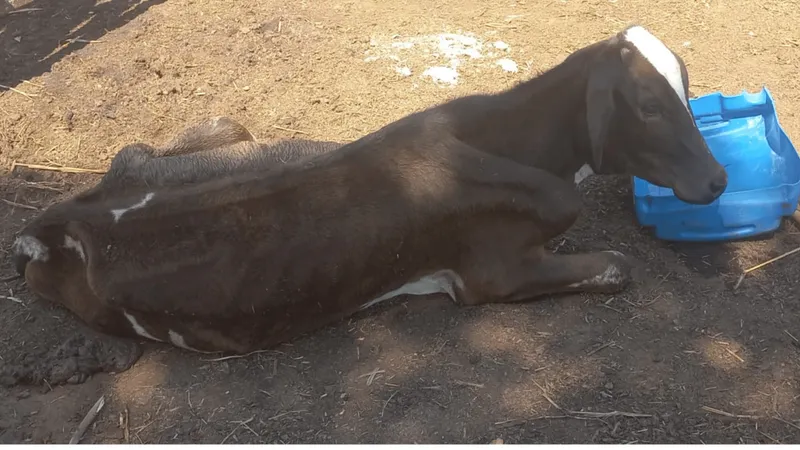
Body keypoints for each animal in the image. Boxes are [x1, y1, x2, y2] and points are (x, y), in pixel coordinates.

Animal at [7, 23, 732, 384]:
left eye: (687, 84)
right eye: (647, 106)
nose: (719, 181)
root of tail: (53, 225)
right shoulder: (489, 274)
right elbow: (618, 266)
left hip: (203, 145)